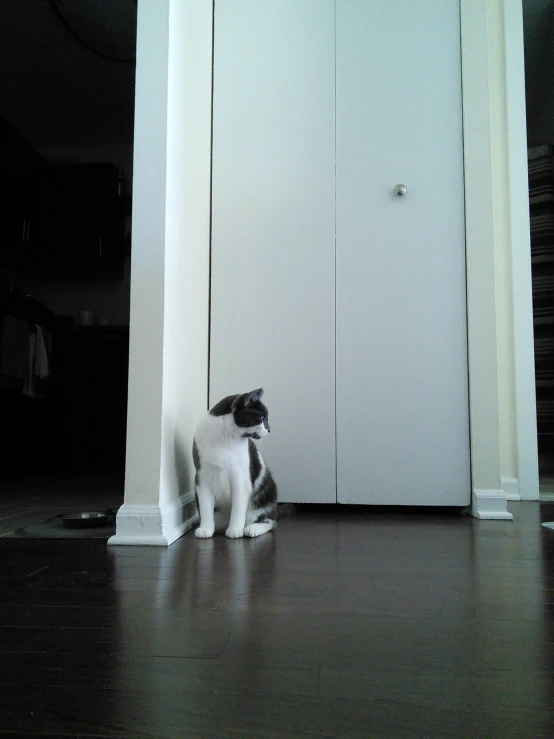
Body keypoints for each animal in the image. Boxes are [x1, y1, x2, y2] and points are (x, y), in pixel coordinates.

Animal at [193, 388, 276, 536]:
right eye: (262, 418)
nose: (269, 429)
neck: (226, 438)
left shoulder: (241, 478)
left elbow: (238, 507)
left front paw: (235, 529)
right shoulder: (202, 478)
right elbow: (205, 507)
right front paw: (206, 528)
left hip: (263, 495)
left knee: (268, 521)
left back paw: (252, 529)